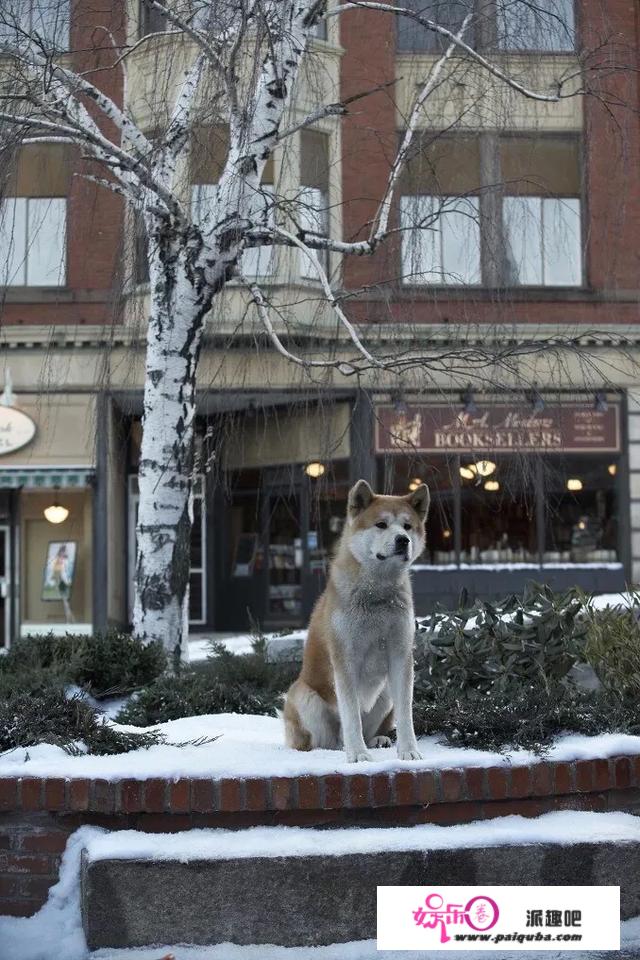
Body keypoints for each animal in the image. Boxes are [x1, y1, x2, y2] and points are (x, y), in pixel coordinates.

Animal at [282, 480, 428, 764]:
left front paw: (408, 750)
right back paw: (336, 749)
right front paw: (358, 755)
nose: (403, 540)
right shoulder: (345, 659)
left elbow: (406, 715)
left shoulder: (401, 655)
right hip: (305, 697)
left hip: (384, 695)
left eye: (407, 526)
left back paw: (377, 740)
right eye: (381, 524)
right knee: (327, 740)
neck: (377, 597)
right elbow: (350, 716)